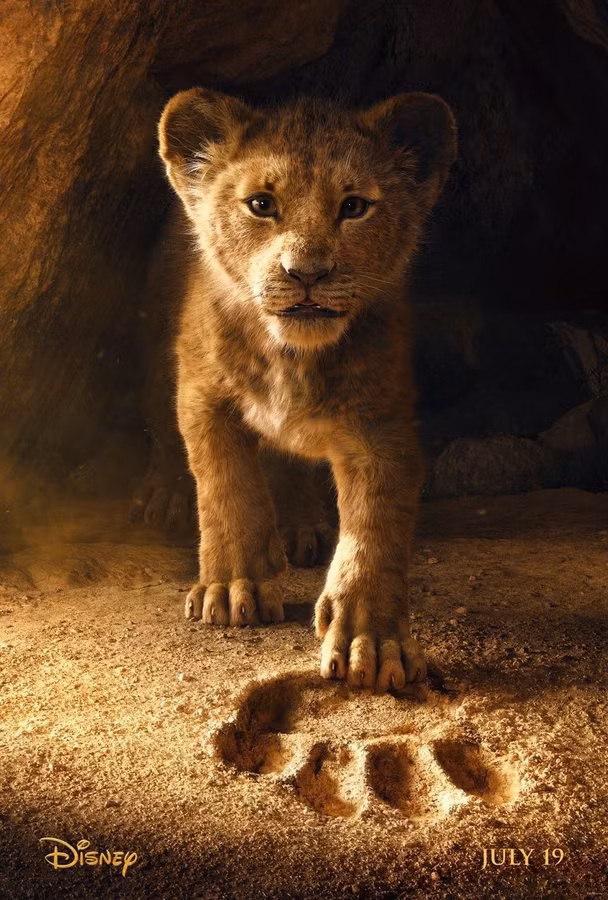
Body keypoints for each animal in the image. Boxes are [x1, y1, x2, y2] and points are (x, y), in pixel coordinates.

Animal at [146, 87, 456, 692]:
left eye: (354, 207)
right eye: (261, 204)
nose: (306, 273)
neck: (292, 356)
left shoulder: (381, 428)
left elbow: (374, 530)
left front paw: (370, 640)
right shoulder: (203, 396)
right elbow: (227, 488)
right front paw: (233, 588)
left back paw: (299, 526)